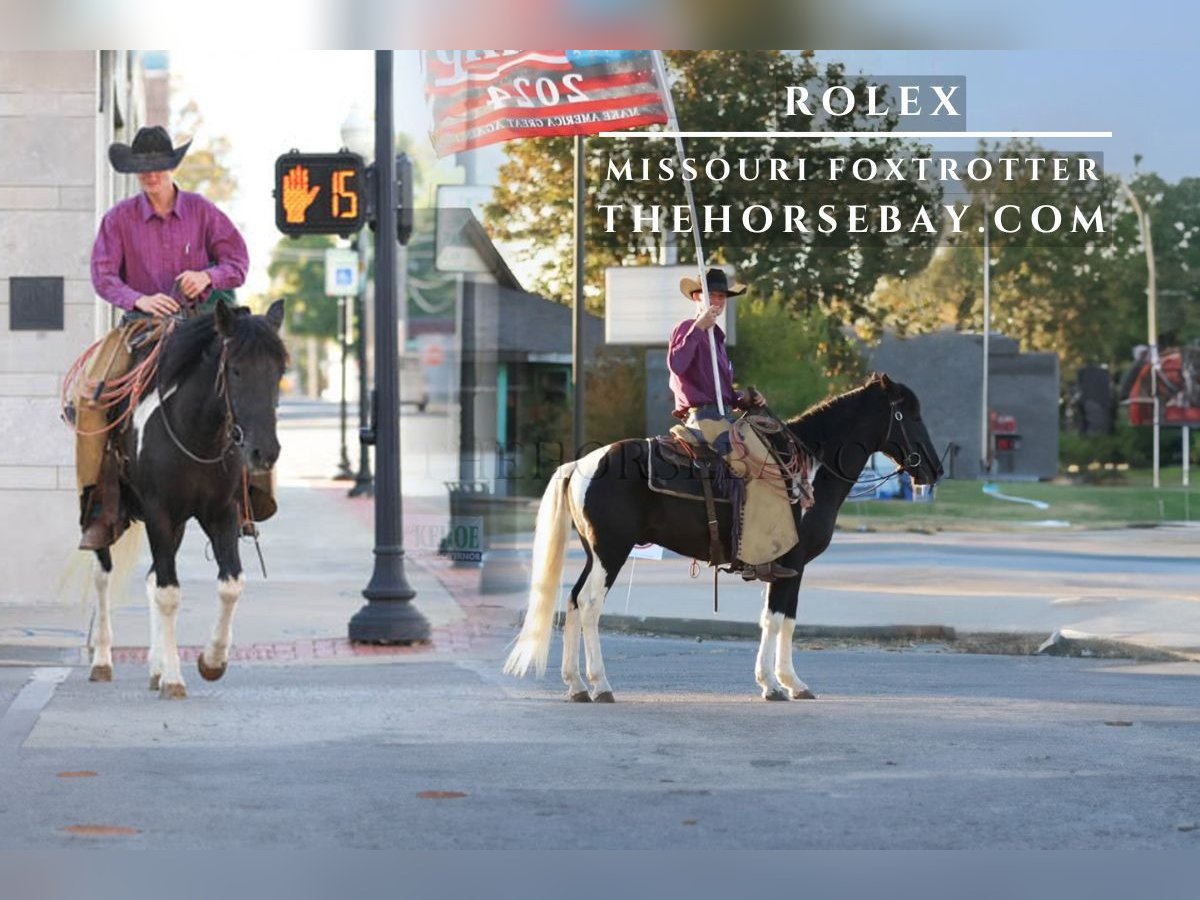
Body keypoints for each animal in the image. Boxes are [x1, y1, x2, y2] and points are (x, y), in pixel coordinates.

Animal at [87, 300, 288, 700]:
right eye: (236, 369)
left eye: (279, 371)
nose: (265, 452)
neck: (196, 432)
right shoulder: (159, 513)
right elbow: (168, 593)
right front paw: (175, 680)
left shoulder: (221, 513)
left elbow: (230, 585)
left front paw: (211, 662)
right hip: (102, 508)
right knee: (103, 575)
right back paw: (102, 660)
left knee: (151, 577)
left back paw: (155, 667)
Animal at [501, 374, 940, 705]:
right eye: (909, 414)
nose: (934, 469)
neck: (808, 469)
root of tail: (581, 464)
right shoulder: (792, 563)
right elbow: (780, 619)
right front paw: (781, 684)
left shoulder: (782, 566)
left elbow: (777, 618)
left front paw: (779, 682)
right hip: (612, 551)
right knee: (591, 605)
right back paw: (601, 685)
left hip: (596, 554)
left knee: (574, 602)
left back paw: (576, 685)